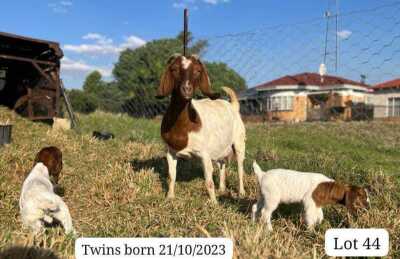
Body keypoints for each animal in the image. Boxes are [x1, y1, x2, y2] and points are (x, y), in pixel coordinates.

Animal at [157, 54, 247, 205]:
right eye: (174, 69)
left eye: (198, 71)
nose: (186, 89)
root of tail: (233, 106)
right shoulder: (170, 152)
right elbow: (171, 175)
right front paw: (169, 197)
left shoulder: (205, 154)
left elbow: (209, 181)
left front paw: (214, 204)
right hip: (220, 146)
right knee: (222, 164)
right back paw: (222, 189)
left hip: (239, 142)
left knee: (240, 168)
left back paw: (241, 193)